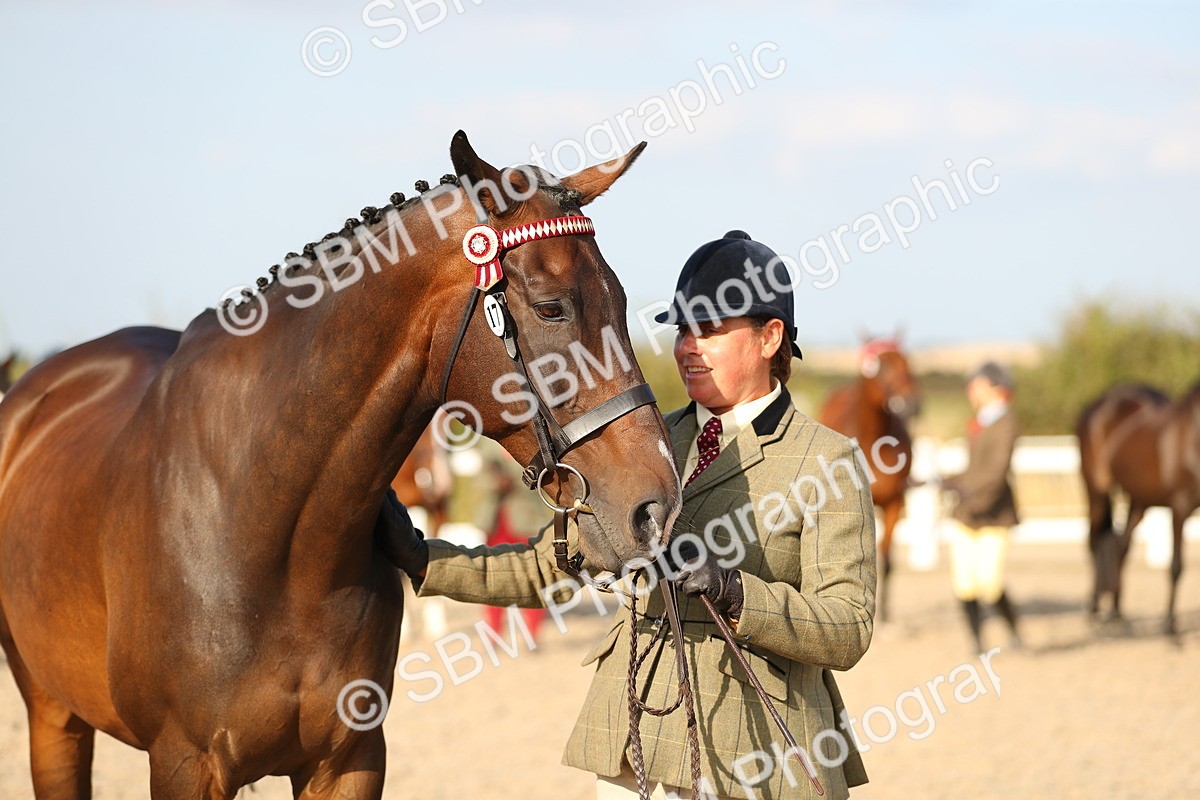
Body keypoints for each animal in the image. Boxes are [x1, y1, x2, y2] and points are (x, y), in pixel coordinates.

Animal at [0, 131, 682, 799]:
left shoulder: (350, 759)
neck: (268, 529)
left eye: (623, 299)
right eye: (550, 308)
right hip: (52, 715)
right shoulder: (184, 764)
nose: (656, 508)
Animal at [818, 336, 919, 623]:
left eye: (907, 362)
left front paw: (885, 615)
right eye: (881, 367)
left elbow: (886, 560)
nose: (910, 405)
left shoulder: (895, 503)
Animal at [1078, 382, 1200, 634]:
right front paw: (1170, 626)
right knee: (1094, 542)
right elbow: (1176, 566)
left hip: (1139, 501)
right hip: (1097, 491)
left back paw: (1116, 611)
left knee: (1121, 546)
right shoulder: (1180, 508)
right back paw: (1094, 609)